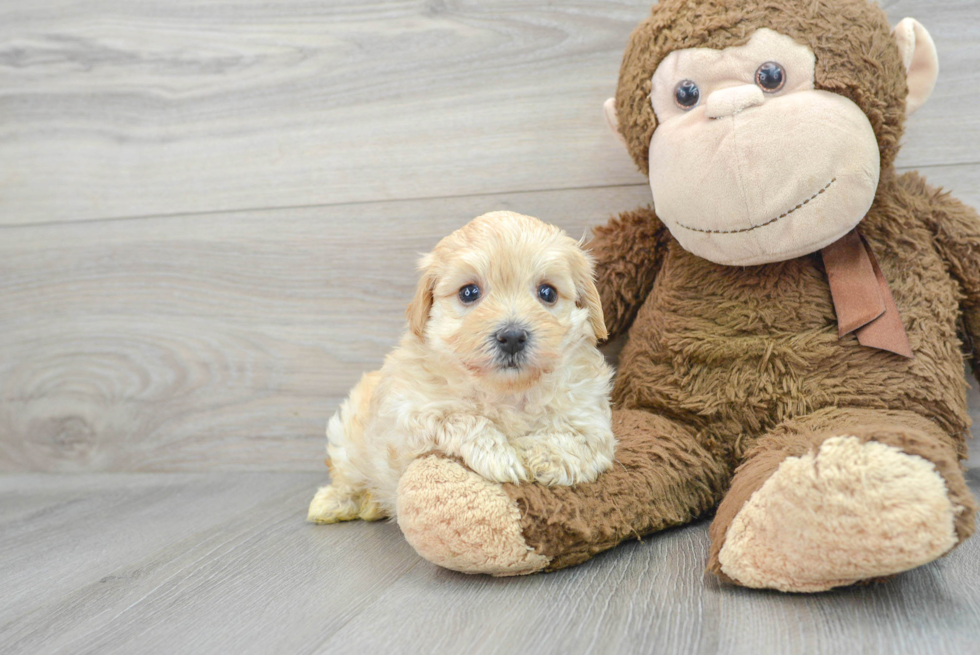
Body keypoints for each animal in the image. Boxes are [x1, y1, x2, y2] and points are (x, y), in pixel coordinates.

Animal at [306, 210, 612, 524]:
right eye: (469, 292)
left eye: (548, 293)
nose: (512, 337)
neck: (505, 390)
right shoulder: (408, 416)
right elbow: (459, 417)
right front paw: (501, 456)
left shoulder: (593, 421)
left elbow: (577, 441)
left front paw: (540, 456)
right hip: (347, 437)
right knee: (347, 476)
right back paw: (336, 503)